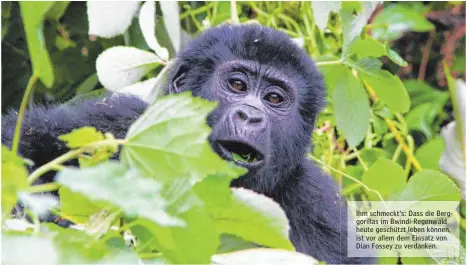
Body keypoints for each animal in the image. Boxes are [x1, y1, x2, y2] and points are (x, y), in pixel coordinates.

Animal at [0, 23, 372, 262]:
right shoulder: (117, 122)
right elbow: (22, 142)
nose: (251, 117)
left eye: (274, 98)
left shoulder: (321, 210)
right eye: (237, 85)